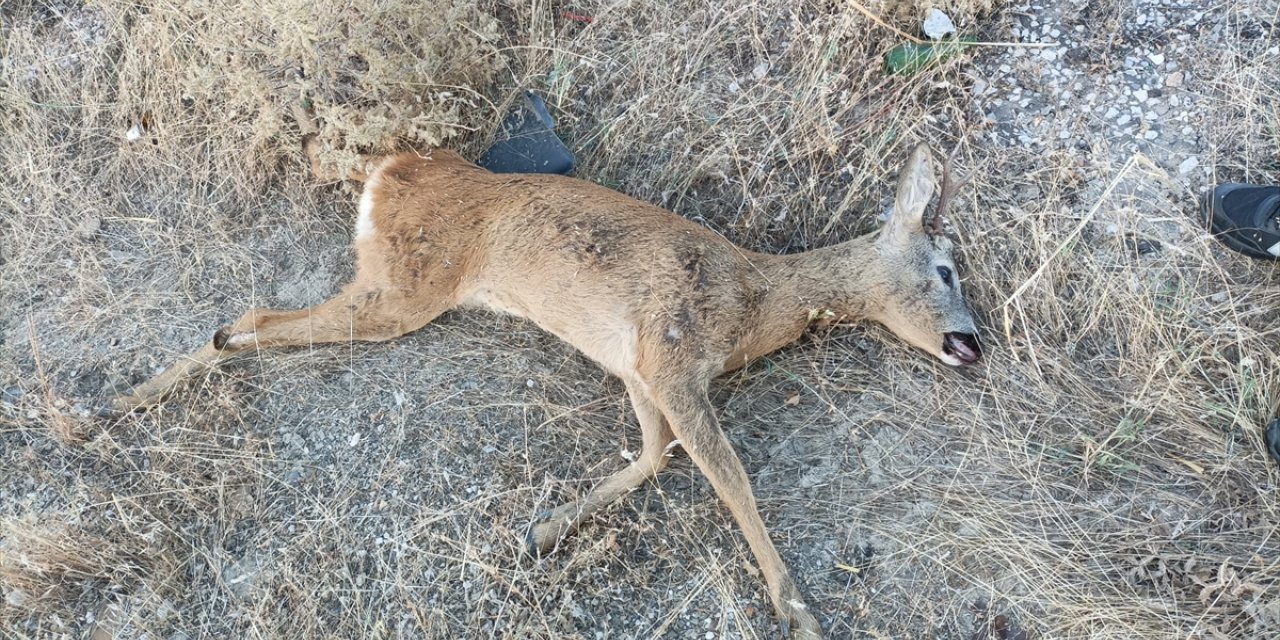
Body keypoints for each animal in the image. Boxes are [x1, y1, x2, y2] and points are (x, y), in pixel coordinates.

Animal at [115, 117, 983, 637]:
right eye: (945, 269)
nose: (972, 344)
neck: (753, 299)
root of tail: (391, 167)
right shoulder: (671, 355)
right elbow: (730, 476)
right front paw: (796, 608)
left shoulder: (639, 370)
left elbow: (652, 456)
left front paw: (547, 528)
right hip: (403, 291)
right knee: (249, 321)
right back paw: (126, 400)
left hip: (389, 285)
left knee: (247, 319)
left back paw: (119, 402)